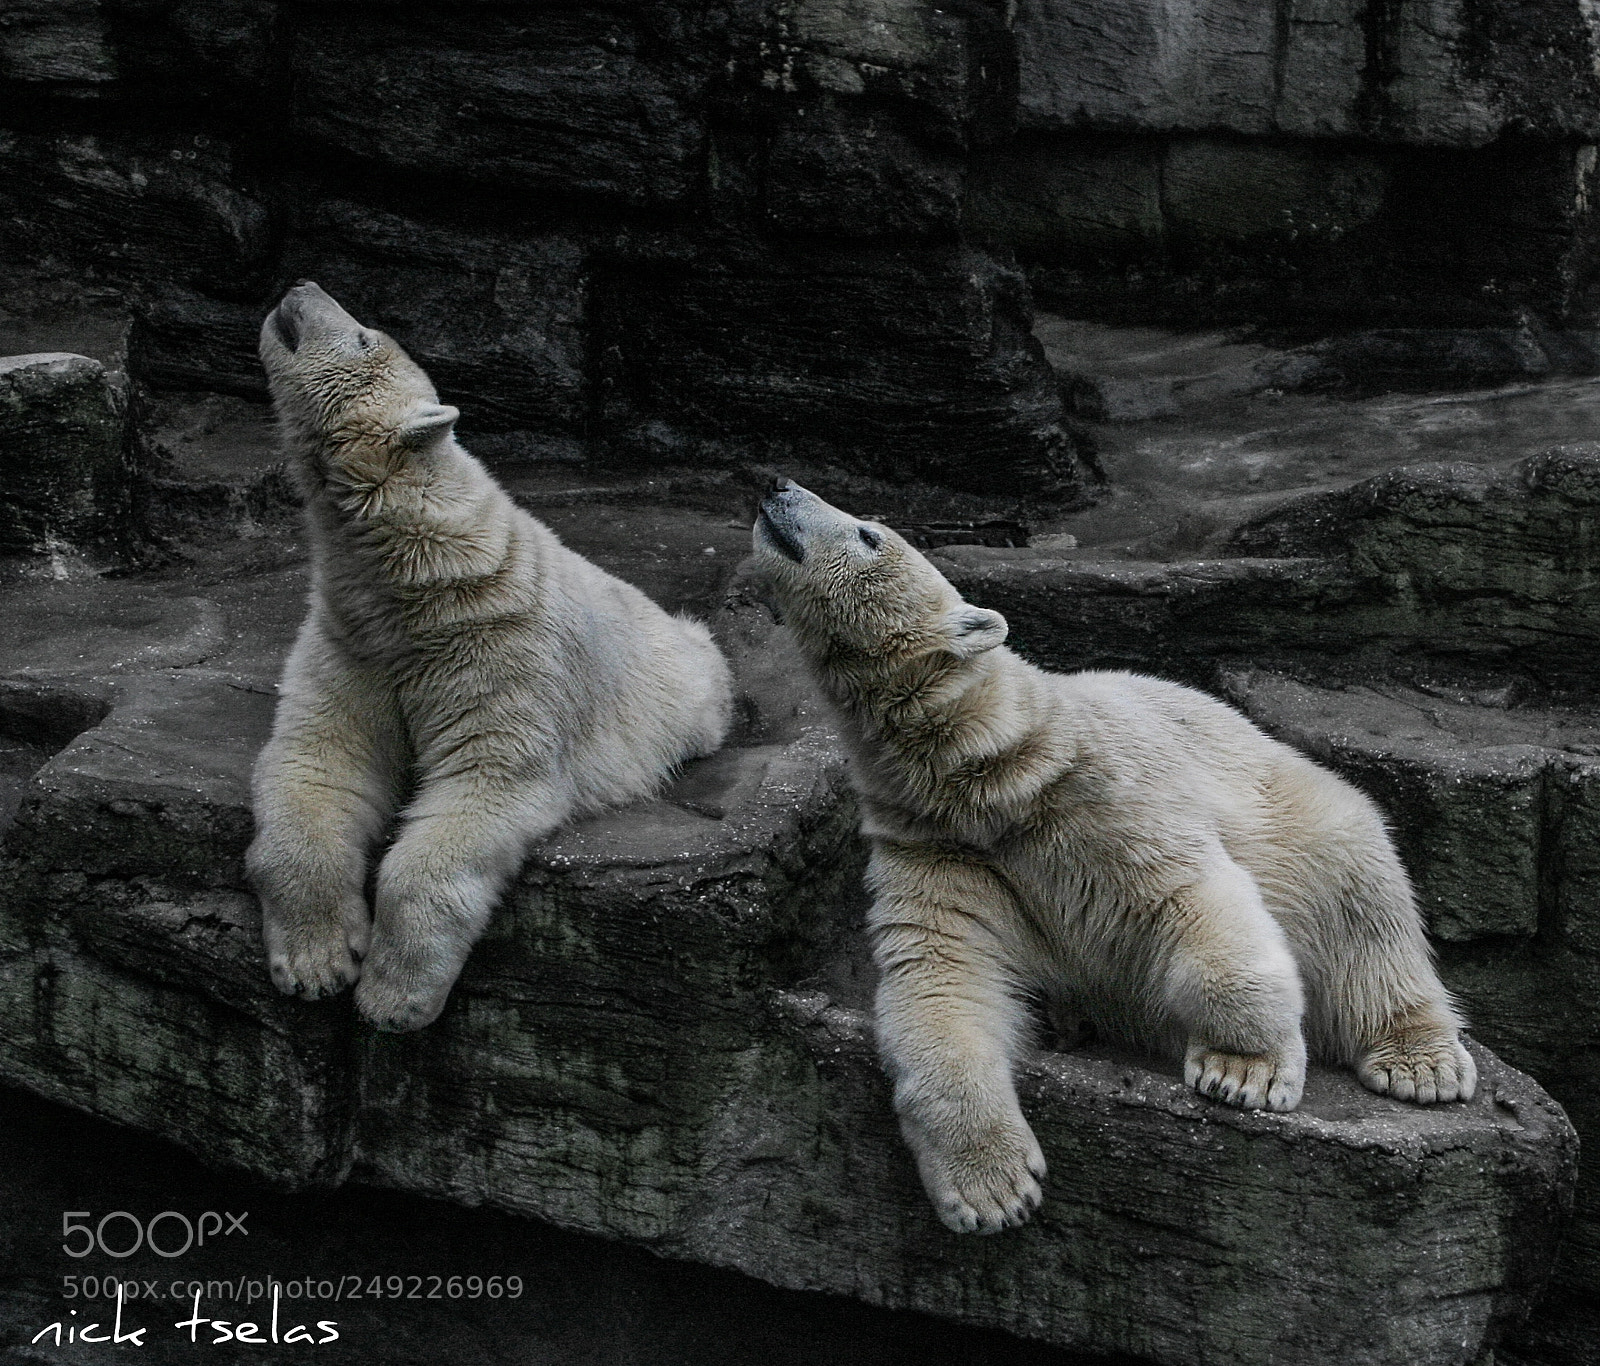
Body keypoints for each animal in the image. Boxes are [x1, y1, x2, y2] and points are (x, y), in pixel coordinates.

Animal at [248, 282, 733, 1031]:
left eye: (364, 337)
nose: (302, 288)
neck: (412, 580)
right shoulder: (352, 640)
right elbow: (320, 760)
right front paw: (315, 964)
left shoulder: (500, 650)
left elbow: (487, 782)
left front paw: (393, 1000)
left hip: (682, 683)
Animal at [750, 477, 1476, 1235]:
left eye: (869, 534)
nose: (776, 484)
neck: (987, 772)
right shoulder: (939, 847)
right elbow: (941, 979)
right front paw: (992, 1191)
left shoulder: (1103, 793)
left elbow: (1192, 896)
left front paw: (1243, 1069)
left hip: (1303, 814)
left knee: (1363, 905)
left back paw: (1420, 1064)